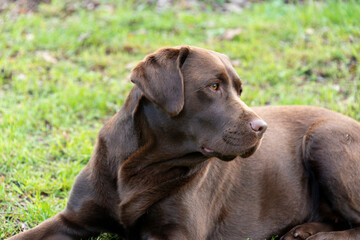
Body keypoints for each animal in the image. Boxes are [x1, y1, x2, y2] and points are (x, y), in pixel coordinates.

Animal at [9, 46, 360, 239]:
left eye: (239, 90)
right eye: (213, 86)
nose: (262, 127)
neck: (136, 168)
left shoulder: (177, 233)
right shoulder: (72, 220)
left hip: (324, 138)